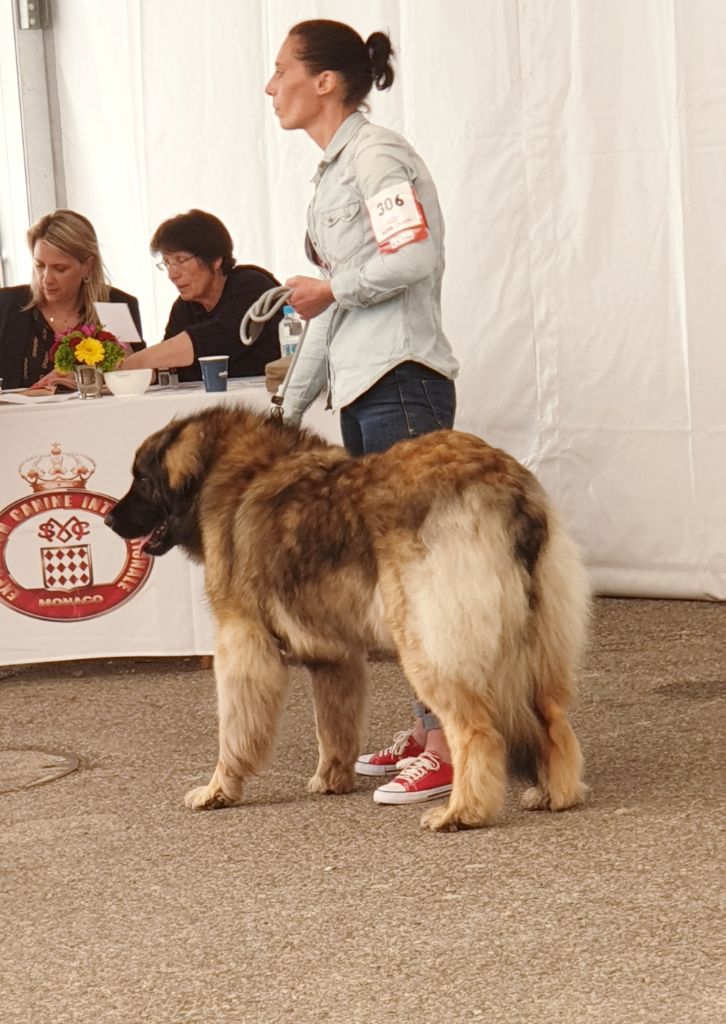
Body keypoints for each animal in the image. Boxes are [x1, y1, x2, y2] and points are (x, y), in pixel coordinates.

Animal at [107, 403, 589, 827]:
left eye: (143, 480)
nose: (110, 520)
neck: (230, 474)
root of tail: (506, 490)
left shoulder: (242, 641)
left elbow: (234, 730)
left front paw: (219, 790)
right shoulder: (334, 657)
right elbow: (333, 725)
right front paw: (332, 778)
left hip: (427, 642)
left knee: (475, 730)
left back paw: (462, 812)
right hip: (536, 641)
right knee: (551, 718)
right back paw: (555, 793)